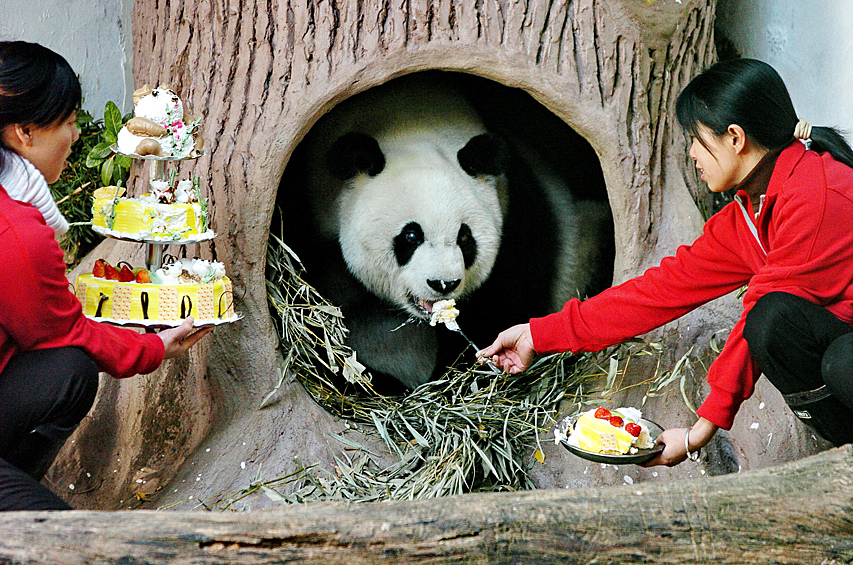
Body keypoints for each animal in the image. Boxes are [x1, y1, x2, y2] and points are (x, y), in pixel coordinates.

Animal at [276, 71, 608, 392]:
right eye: (411, 236)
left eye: (465, 238)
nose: (443, 283)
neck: (408, 123)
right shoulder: (310, 207)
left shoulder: (514, 208)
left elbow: (501, 301)